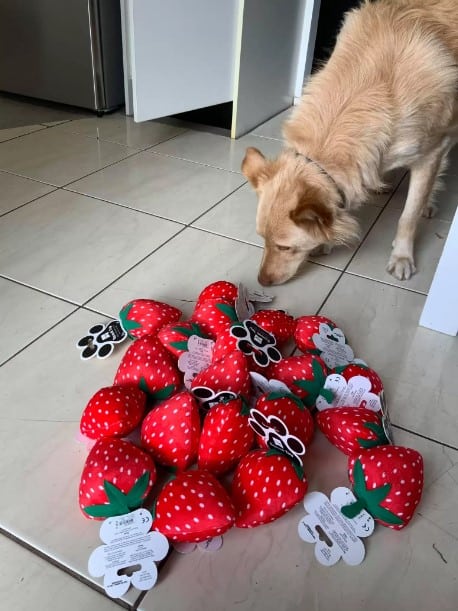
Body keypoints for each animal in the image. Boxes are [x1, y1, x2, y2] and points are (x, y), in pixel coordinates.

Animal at [242, 0, 456, 286]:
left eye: (285, 247)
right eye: (261, 239)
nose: (262, 282)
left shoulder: (430, 153)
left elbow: (408, 216)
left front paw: (402, 255)